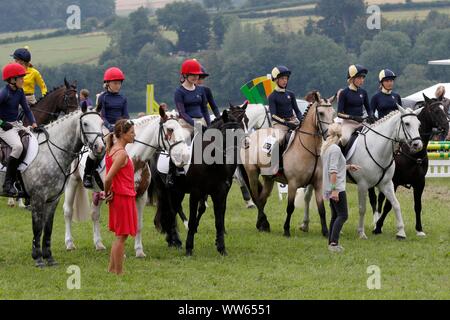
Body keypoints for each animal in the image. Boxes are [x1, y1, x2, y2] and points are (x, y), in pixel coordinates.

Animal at [370, 94, 450, 236]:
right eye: (435, 111)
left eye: (445, 109)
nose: (446, 126)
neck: (411, 153)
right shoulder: (395, 181)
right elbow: (388, 206)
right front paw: (378, 226)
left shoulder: (420, 182)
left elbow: (418, 205)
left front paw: (419, 229)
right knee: (377, 200)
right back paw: (376, 222)